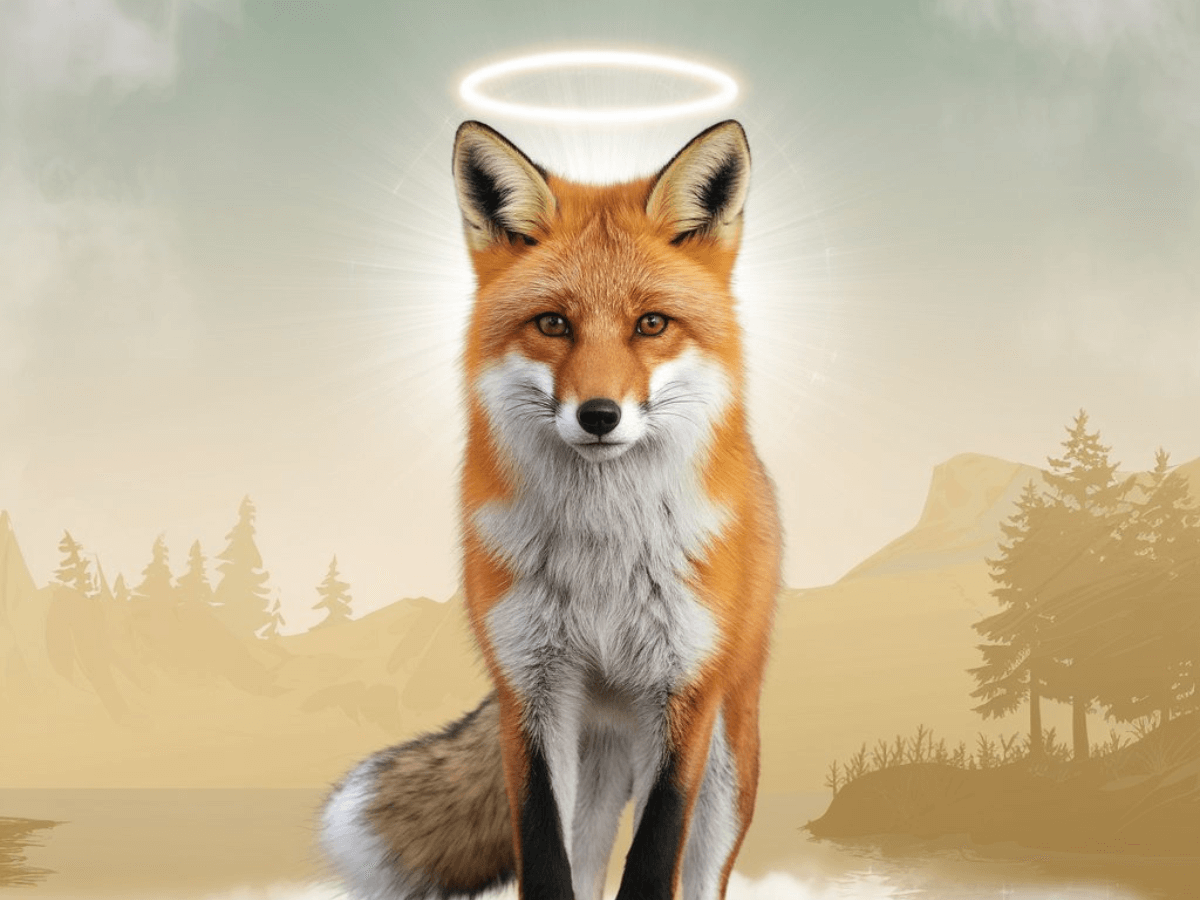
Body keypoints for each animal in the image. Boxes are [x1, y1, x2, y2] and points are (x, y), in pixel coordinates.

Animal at [320, 119, 781, 900]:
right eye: (553, 323)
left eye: (651, 323)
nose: (598, 416)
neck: (604, 552)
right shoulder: (531, 689)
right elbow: (543, 856)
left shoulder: (683, 693)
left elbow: (654, 857)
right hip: (590, 758)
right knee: (587, 859)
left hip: (728, 755)